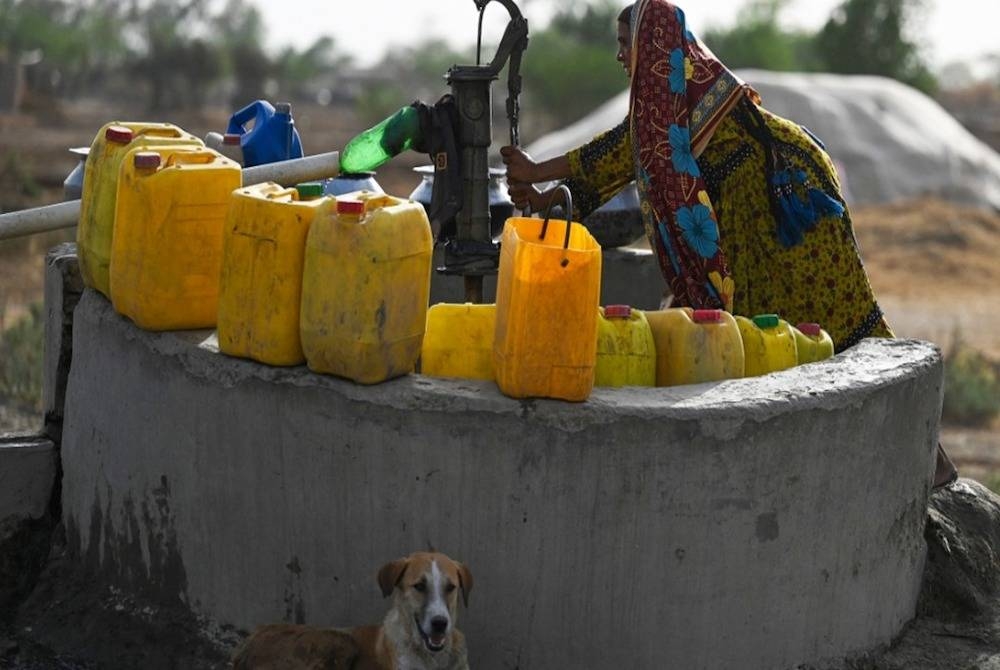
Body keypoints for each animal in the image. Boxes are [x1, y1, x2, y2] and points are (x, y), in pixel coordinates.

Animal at [230, 552, 472, 670]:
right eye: (419, 586)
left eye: (450, 587)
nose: (440, 623)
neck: (433, 658)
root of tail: (250, 640)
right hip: (339, 640)